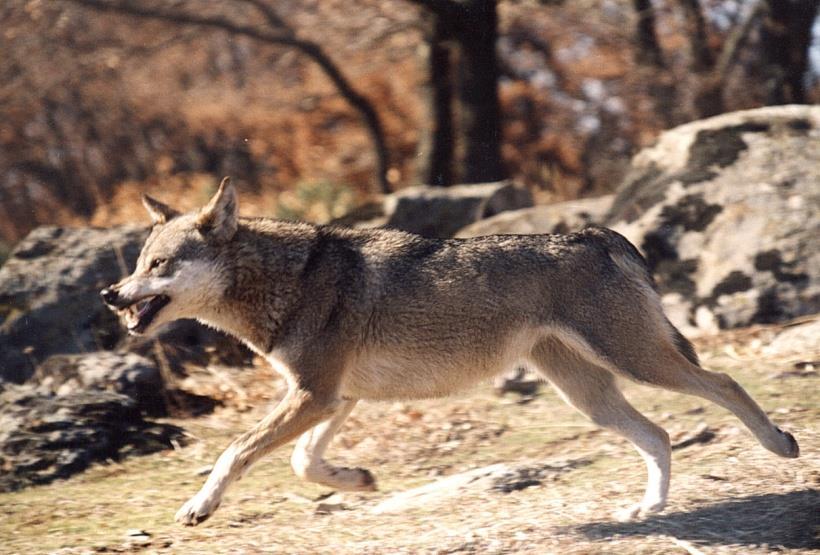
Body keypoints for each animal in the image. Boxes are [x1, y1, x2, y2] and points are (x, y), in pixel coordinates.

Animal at [99, 178, 796, 524]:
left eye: (158, 265)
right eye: (136, 264)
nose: (110, 294)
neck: (287, 279)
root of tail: (597, 234)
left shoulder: (314, 394)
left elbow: (234, 452)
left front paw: (199, 506)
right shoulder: (334, 397)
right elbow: (302, 462)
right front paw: (356, 480)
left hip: (636, 363)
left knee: (725, 384)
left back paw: (780, 445)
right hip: (592, 395)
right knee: (659, 436)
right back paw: (648, 510)